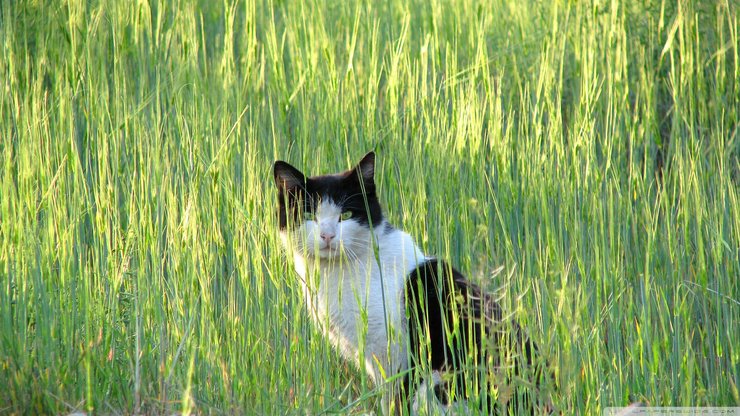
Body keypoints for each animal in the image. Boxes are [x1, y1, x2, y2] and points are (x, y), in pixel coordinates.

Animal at [274, 152, 548, 412]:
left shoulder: (394, 355)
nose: (327, 236)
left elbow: (394, 401)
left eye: (347, 215)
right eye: (308, 214)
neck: (340, 272)